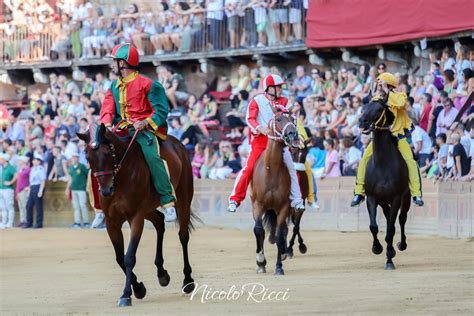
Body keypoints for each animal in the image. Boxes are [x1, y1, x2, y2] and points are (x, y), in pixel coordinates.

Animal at [78, 123, 196, 306]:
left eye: (106, 153)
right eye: (87, 156)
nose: (105, 190)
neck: (120, 178)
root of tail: (178, 145)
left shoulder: (136, 217)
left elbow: (129, 257)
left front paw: (127, 294)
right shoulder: (112, 222)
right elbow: (120, 257)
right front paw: (138, 288)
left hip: (183, 199)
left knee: (183, 236)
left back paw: (188, 280)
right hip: (148, 208)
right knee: (159, 222)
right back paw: (162, 273)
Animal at [252, 111, 300, 274]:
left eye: (292, 119)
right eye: (278, 119)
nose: (293, 134)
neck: (271, 170)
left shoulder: (284, 206)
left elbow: (279, 235)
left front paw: (279, 267)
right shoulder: (258, 204)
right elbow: (259, 230)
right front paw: (260, 262)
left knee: (284, 230)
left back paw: (285, 252)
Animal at [360, 99, 412, 270]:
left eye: (378, 109)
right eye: (363, 108)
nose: (362, 121)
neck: (383, 164)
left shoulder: (396, 197)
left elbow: (390, 229)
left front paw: (389, 260)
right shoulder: (372, 197)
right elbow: (374, 226)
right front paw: (377, 248)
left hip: (406, 198)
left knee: (401, 219)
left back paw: (401, 245)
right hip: (383, 202)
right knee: (389, 216)